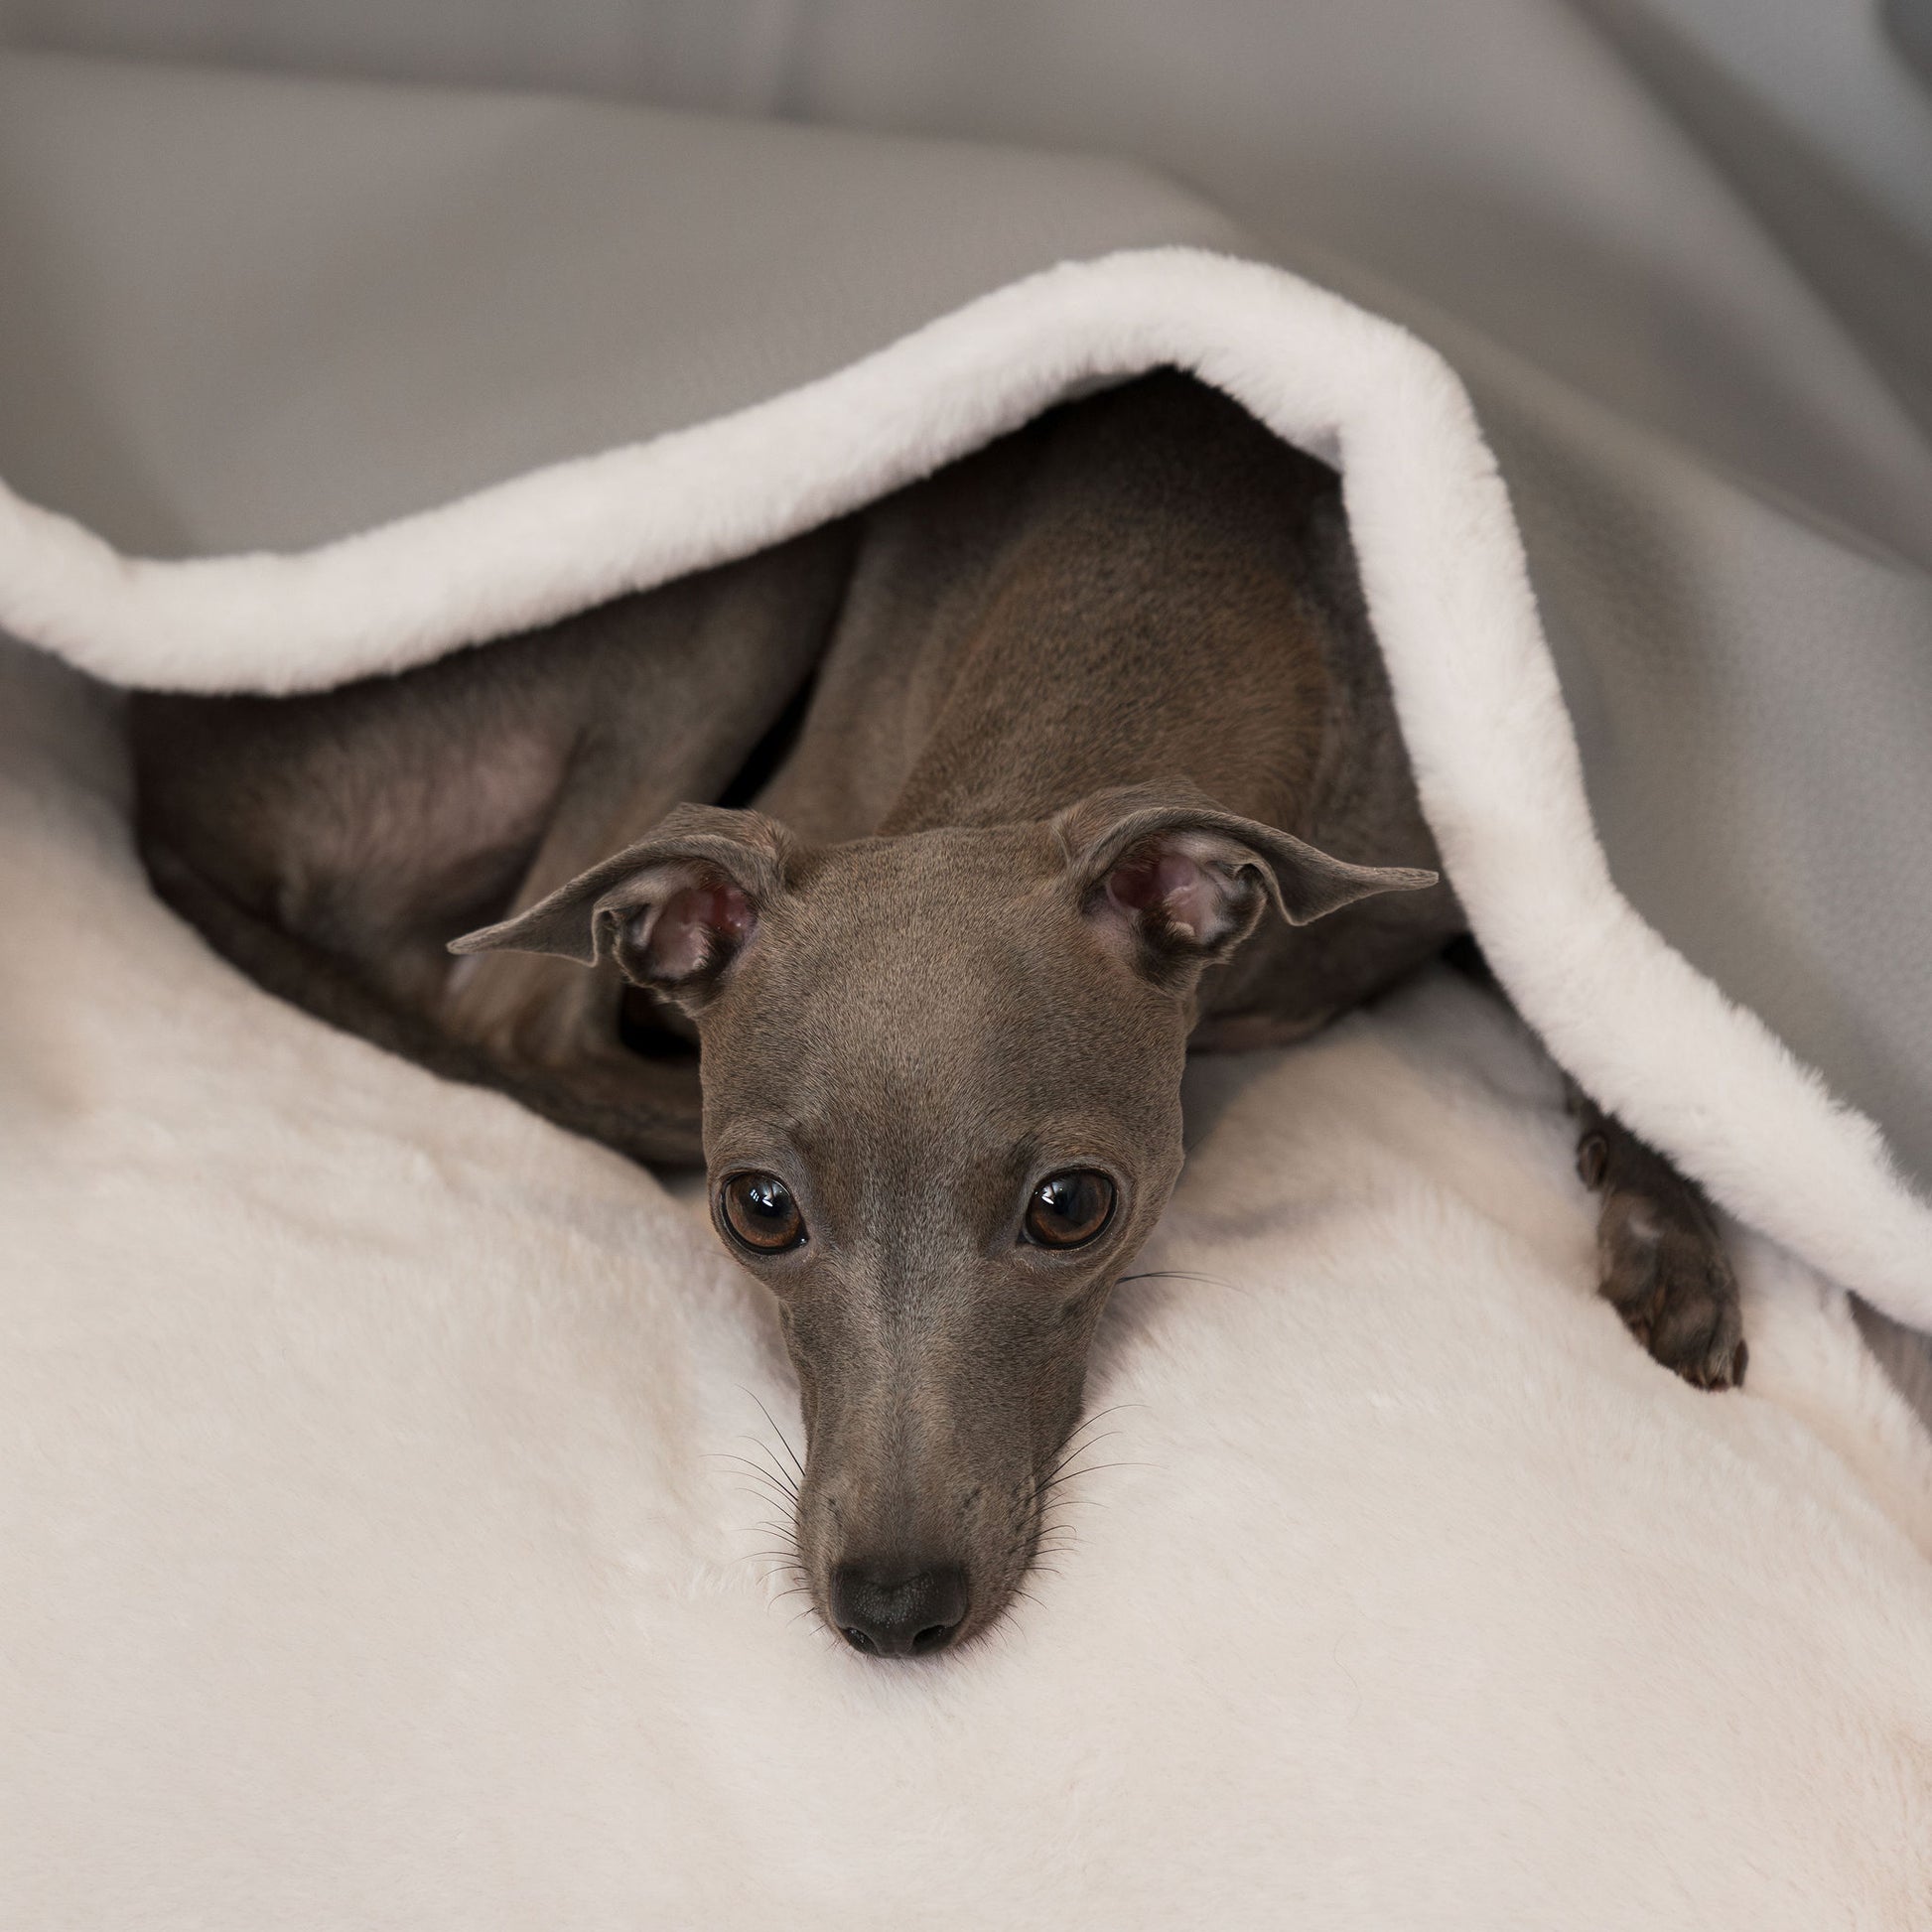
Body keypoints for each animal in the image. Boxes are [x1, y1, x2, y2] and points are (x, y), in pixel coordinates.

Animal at [132, 372, 1738, 1661]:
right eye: (758, 1208)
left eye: (1072, 1206)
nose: (894, 1608)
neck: (1165, 570)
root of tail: (164, 783)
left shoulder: (1491, 854)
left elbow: (1606, 998)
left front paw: (1670, 1224)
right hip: (738, 568)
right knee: (512, 1005)